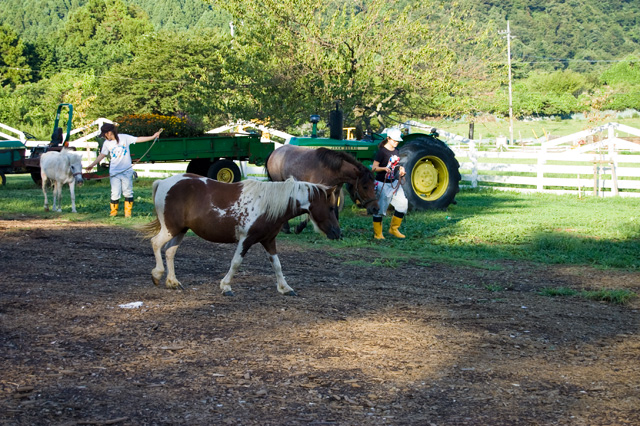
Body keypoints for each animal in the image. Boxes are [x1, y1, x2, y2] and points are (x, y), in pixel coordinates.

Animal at [139, 173, 340, 296]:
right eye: (331, 208)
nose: (337, 233)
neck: (268, 205)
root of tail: (163, 182)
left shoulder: (268, 240)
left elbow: (277, 265)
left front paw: (285, 288)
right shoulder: (246, 239)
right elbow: (236, 262)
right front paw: (226, 286)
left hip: (180, 230)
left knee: (170, 251)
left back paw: (172, 282)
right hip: (171, 229)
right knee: (156, 244)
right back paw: (157, 275)